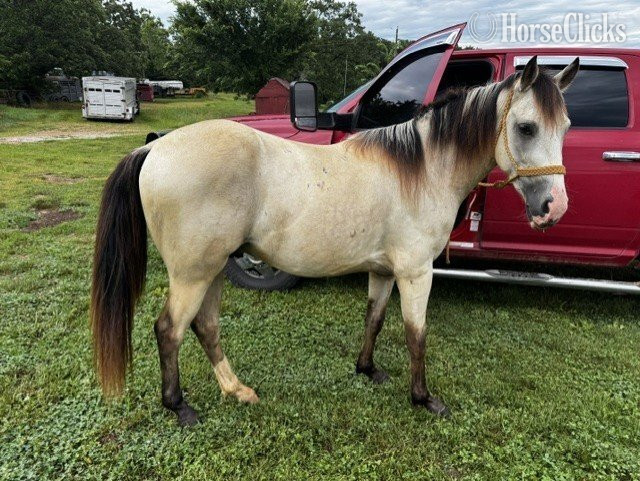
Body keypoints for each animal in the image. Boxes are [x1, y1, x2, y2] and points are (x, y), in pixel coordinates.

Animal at [91, 56, 579, 426]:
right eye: (527, 127)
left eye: (566, 127)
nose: (554, 207)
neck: (422, 169)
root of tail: (155, 148)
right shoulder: (415, 272)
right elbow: (416, 333)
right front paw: (424, 398)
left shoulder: (384, 271)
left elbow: (374, 320)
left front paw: (368, 370)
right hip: (193, 273)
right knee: (169, 330)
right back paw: (179, 407)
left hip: (211, 269)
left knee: (205, 327)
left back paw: (237, 390)